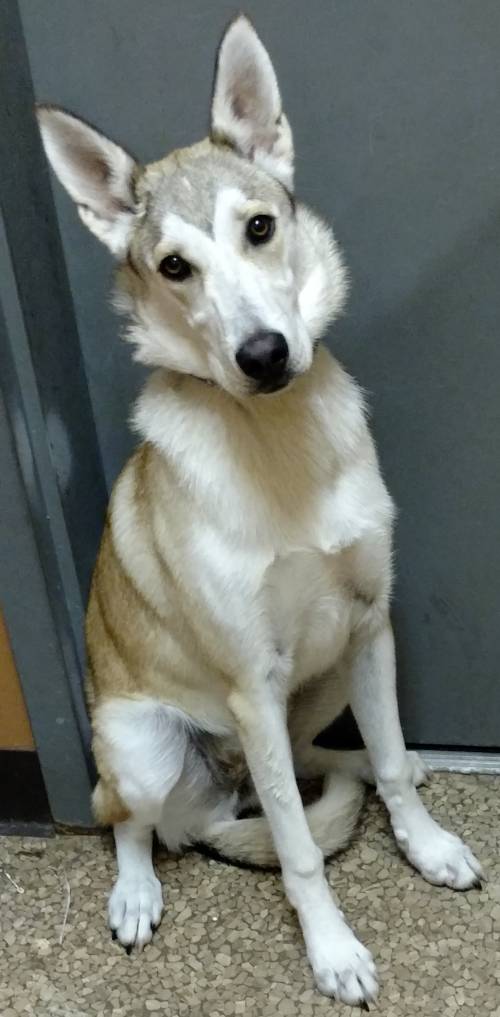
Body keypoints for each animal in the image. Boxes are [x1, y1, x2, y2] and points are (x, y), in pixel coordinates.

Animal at [37, 15, 483, 1006]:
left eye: (260, 227)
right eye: (174, 266)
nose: (265, 354)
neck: (279, 442)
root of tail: (216, 793)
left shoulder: (368, 626)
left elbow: (384, 760)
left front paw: (426, 842)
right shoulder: (253, 683)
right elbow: (297, 847)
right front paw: (334, 950)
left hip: (320, 689)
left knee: (334, 760)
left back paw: (403, 765)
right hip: (145, 747)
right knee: (134, 820)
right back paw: (135, 890)